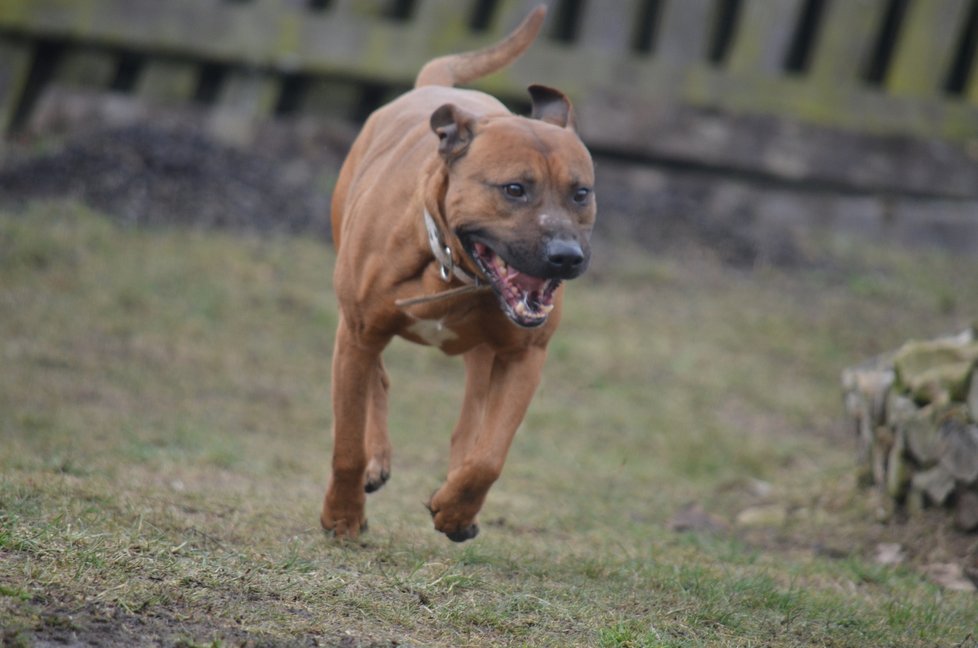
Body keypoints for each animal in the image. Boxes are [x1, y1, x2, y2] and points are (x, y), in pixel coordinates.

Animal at [320, 6, 596, 540]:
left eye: (581, 193)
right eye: (514, 189)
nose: (567, 256)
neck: (452, 269)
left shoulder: (526, 355)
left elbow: (489, 456)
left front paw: (455, 508)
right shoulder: (357, 331)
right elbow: (347, 441)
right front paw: (342, 517)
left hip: (486, 349)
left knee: (471, 415)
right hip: (353, 318)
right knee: (377, 379)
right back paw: (376, 459)